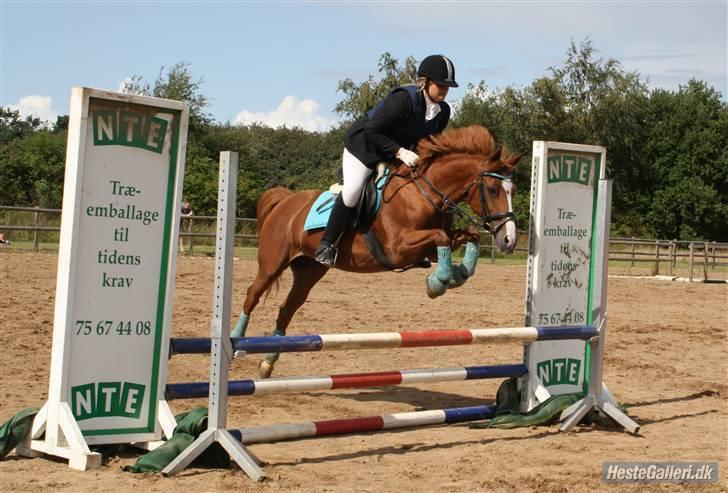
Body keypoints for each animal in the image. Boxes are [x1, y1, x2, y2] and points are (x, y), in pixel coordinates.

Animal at [236, 125, 520, 374]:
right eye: (492, 189)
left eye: (512, 190)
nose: (509, 240)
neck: (422, 194)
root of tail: (285, 200)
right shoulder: (397, 249)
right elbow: (440, 237)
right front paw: (437, 283)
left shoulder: (427, 248)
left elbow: (467, 236)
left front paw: (457, 274)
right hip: (273, 262)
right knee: (252, 295)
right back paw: (235, 343)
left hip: (309, 269)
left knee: (288, 308)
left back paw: (268, 363)